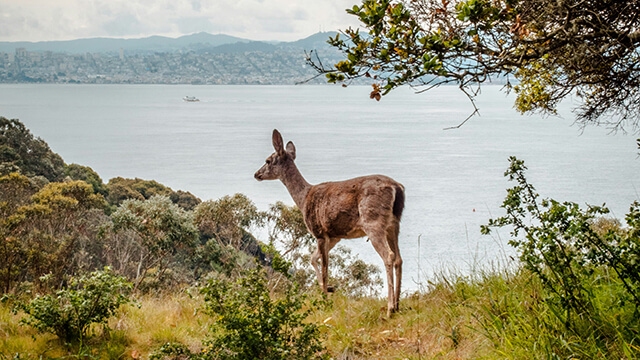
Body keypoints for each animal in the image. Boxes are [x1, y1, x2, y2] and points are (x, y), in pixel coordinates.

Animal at [252, 129, 402, 316]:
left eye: (268, 160)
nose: (256, 174)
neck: (303, 199)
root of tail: (396, 188)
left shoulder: (319, 231)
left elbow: (324, 266)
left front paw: (324, 299)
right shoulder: (334, 236)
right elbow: (312, 258)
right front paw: (329, 288)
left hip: (373, 222)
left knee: (388, 255)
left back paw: (390, 309)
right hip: (394, 224)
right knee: (398, 258)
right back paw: (397, 305)